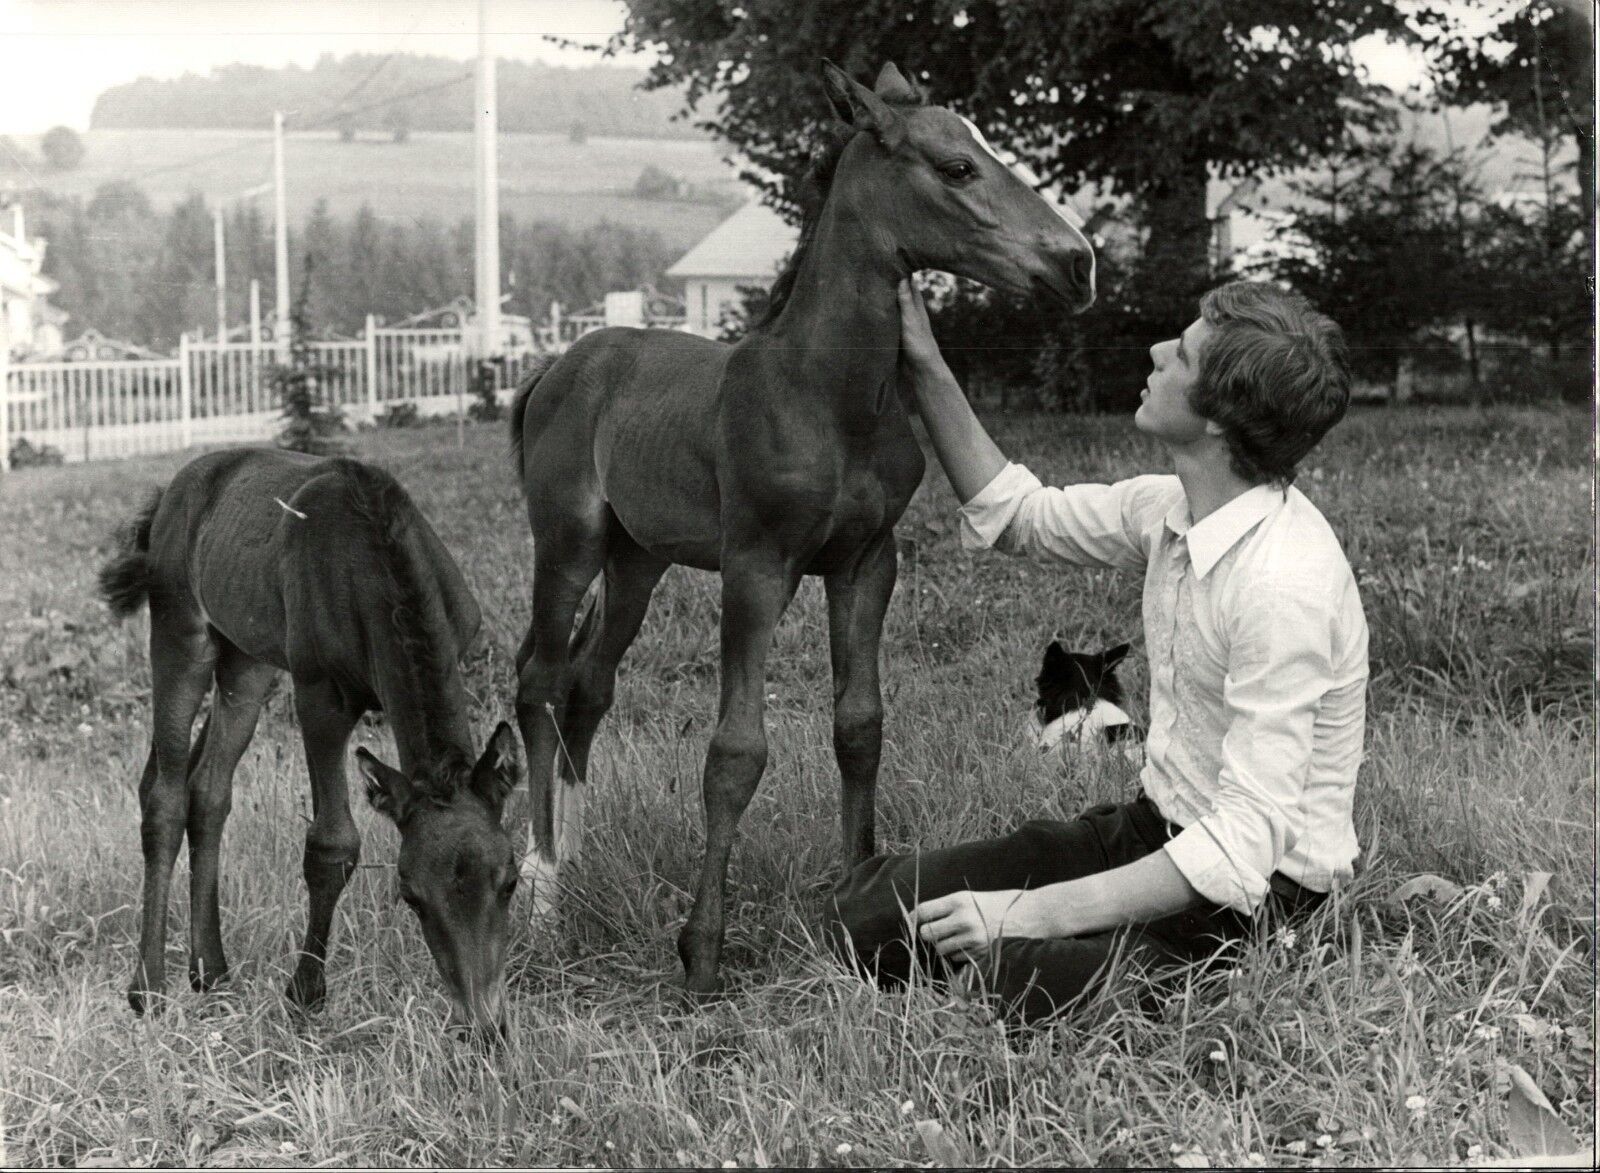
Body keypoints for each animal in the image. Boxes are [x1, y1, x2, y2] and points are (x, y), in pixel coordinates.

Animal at [505, 59, 1094, 992]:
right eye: (958, 166)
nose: (1079, 265)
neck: (829, 395)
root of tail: (557, 367)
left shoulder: (866, 563)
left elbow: (860, 726)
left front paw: (857, 897)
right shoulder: (758, 565)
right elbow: (736, 750)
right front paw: (702, 953)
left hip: (639, 560)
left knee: (588, 685)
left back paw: (579, 854)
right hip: (568, 543)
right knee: (538, 679)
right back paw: (543, 892)